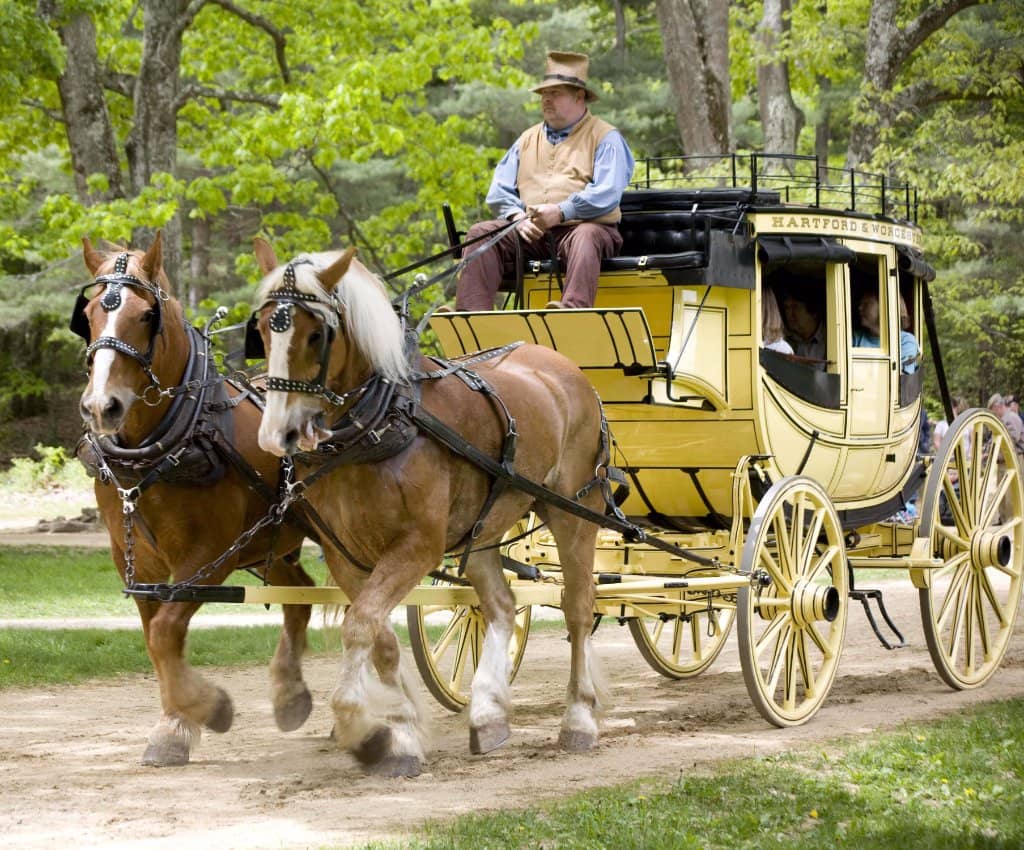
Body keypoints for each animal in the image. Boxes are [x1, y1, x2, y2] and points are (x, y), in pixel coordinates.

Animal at [75, 233, 318, 766]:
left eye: (147, 314)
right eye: (88, 312)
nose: (102, 407)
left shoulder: (209, 555)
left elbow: (167, 631)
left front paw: (200, 713)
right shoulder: (134, 559)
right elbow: (155, 638)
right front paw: (177, 720)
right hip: (271, 542)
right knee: (304, 595)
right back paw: (291, 696)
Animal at [249, 238, 609, 777]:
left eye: (316, 335)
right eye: (260, 331)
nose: (277, 435)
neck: (381, 422)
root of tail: (563, 366)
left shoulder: (418, 547)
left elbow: (360, 624)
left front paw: (360, 723)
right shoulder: (345, 555)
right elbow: (377, 634)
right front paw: (399, 732)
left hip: (574, 513)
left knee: (578, 608)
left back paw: (578, 719)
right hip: (484, 527)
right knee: (501, 607)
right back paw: (487, 715)